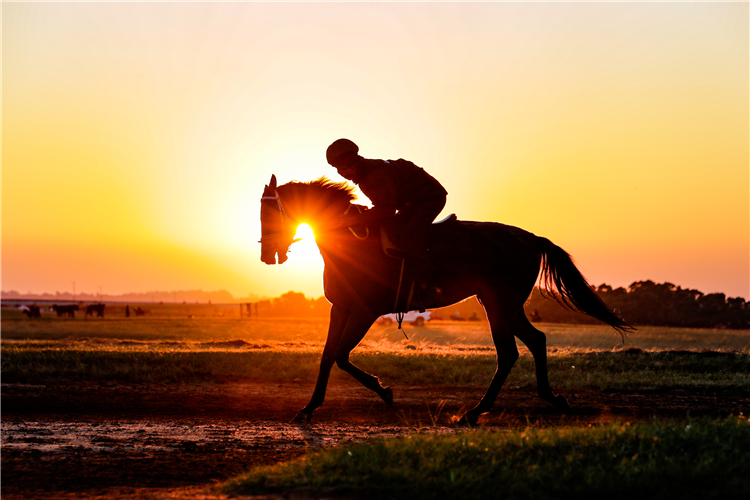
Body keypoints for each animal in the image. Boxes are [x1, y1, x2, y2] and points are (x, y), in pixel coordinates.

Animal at [262, 174, 632, 424]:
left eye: (269, 213)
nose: (267, 255)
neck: (351, 238)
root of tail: (531, 238)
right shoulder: (340, 308)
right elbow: (327, 356)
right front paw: (309, 407)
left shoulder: (366, 310)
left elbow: (341, 355)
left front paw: (384, 390)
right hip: (503, 304)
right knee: (536, 340)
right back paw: (551, 398)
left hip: (500, 303)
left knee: (509, 353)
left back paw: (476, 411)